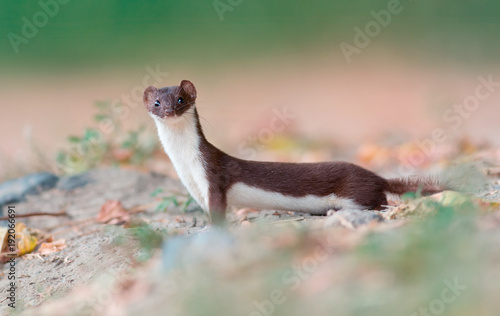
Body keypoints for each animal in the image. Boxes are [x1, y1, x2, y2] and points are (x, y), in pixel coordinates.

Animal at [144, 81, 442, 225]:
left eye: (181, 99)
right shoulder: (194, 185)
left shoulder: (212, 174)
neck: (185, 163)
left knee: (380, 201)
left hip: (356, 192)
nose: (169, 110)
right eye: (157, 102)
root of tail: (377, 177)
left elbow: (218, 207)